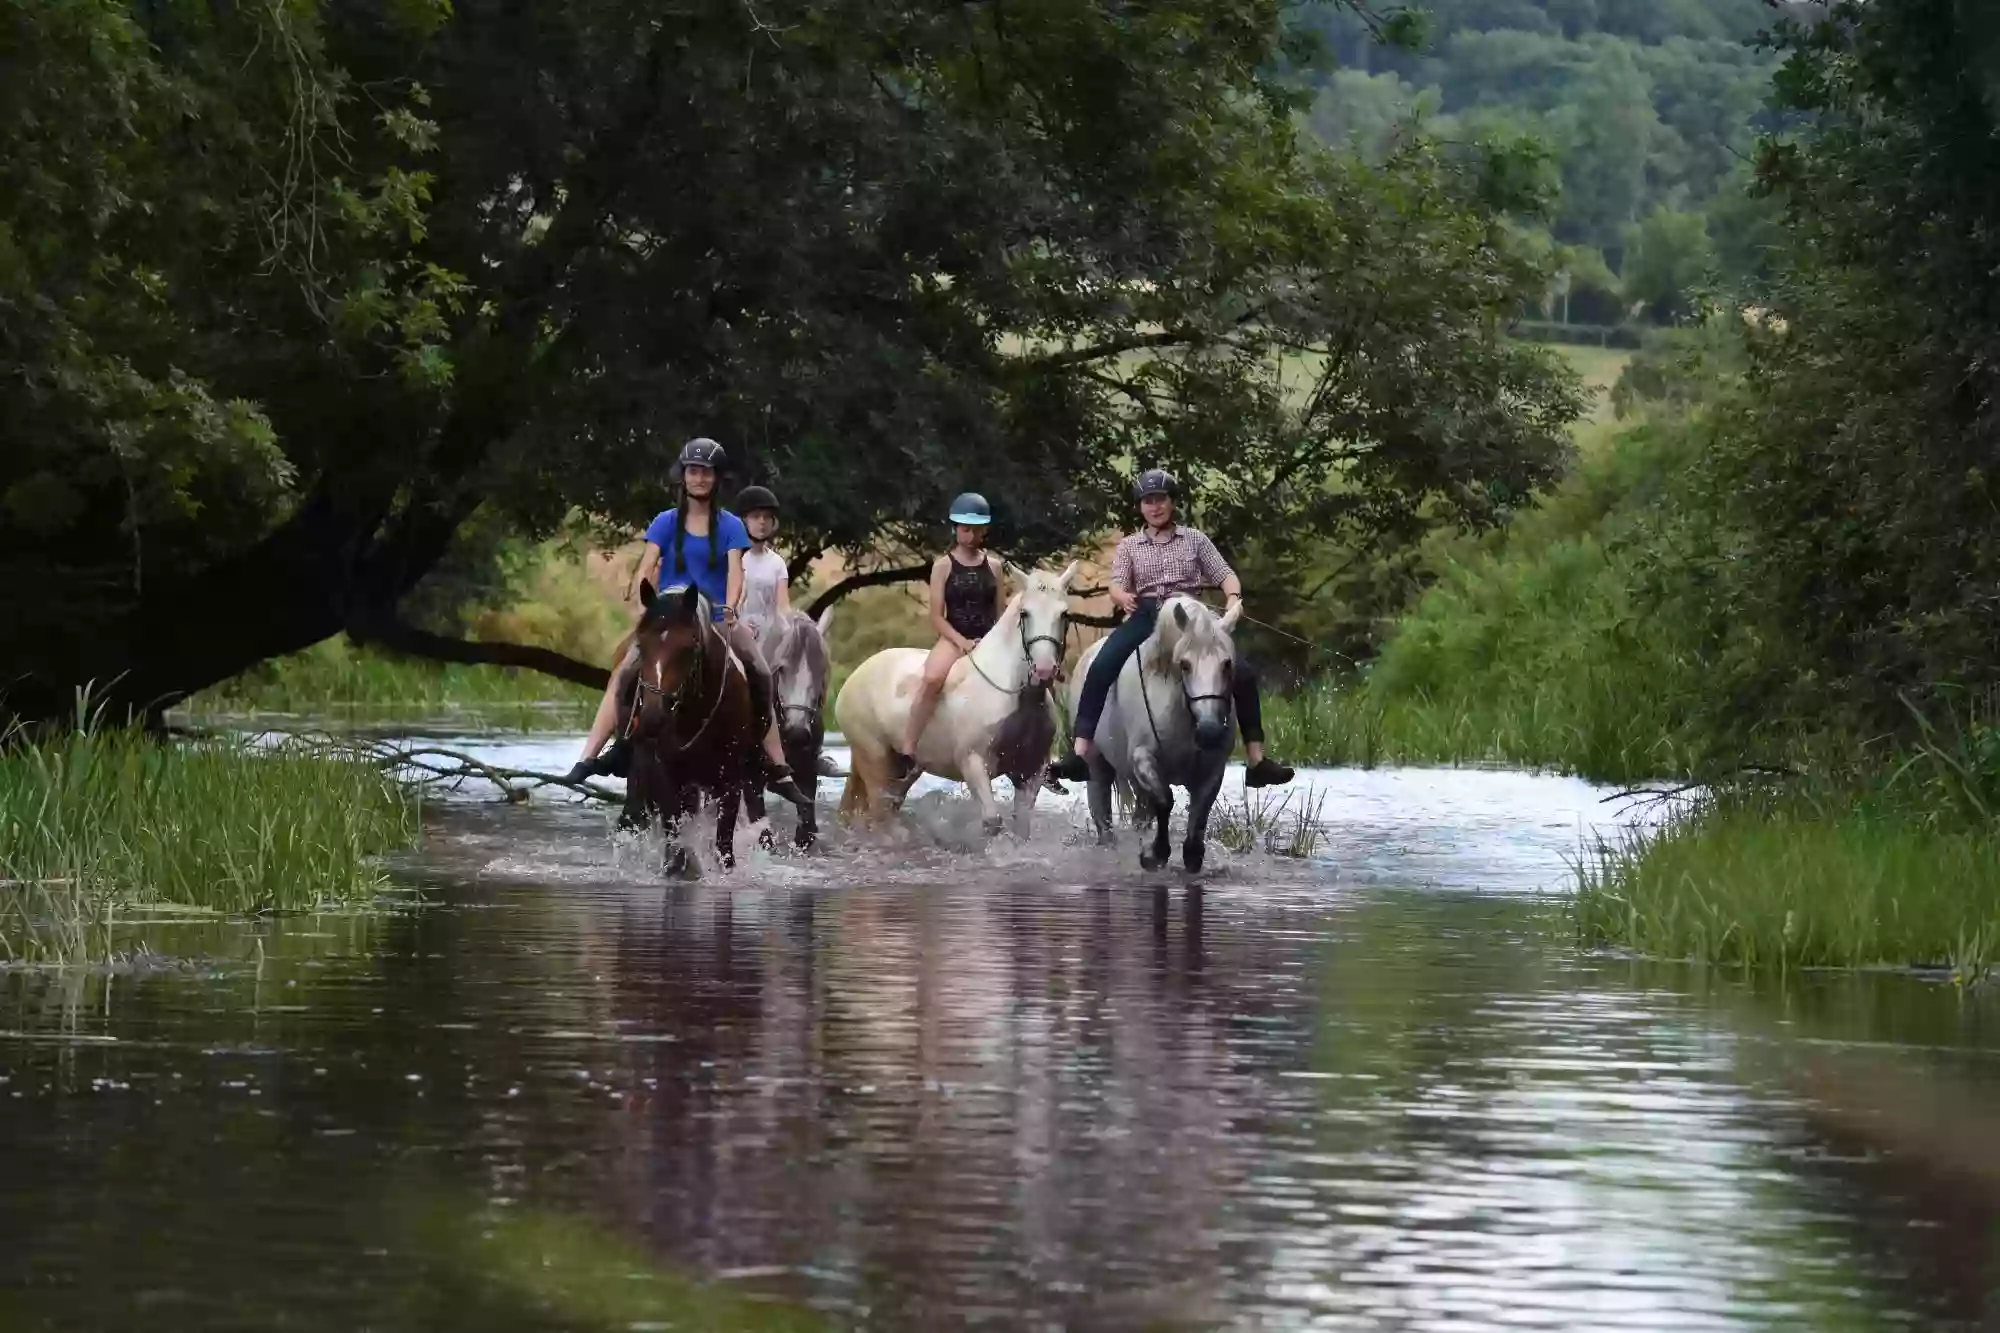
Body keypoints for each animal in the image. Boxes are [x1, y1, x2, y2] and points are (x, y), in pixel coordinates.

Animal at [624, 580, 756, 872]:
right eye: (641, 644)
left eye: (688, 647)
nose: (652, 718)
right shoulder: (668, 778)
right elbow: (674, 841)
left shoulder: (731, 782)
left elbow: (724, 847)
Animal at [740, 608, 832, 844]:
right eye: (780, 669)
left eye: (822, 670)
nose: (797, 733)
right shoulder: (750, 779)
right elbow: (762, 833)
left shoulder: (806, 771)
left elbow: (806, 828)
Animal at [832, 560, 1080, 832]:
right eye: (1025, 613)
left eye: (1065, 614)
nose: (1044, 669)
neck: (1017, 694)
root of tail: (855, 676)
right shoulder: (973, 764)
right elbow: (992, 822)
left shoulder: (1031, 774)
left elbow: (1021, 828)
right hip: (875, 761)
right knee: (878, 814)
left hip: (900, 772)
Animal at [1072, 592, 1240, 872]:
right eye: (1184, 665)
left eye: (1227, 664)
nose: (1209, 731)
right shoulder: (1144, 758)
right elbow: (1165, 800)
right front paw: (1155, 854)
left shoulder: (1213, 768)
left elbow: (1200, 809)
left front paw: (1192, 853)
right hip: (1097, 765)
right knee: (1101, 809)